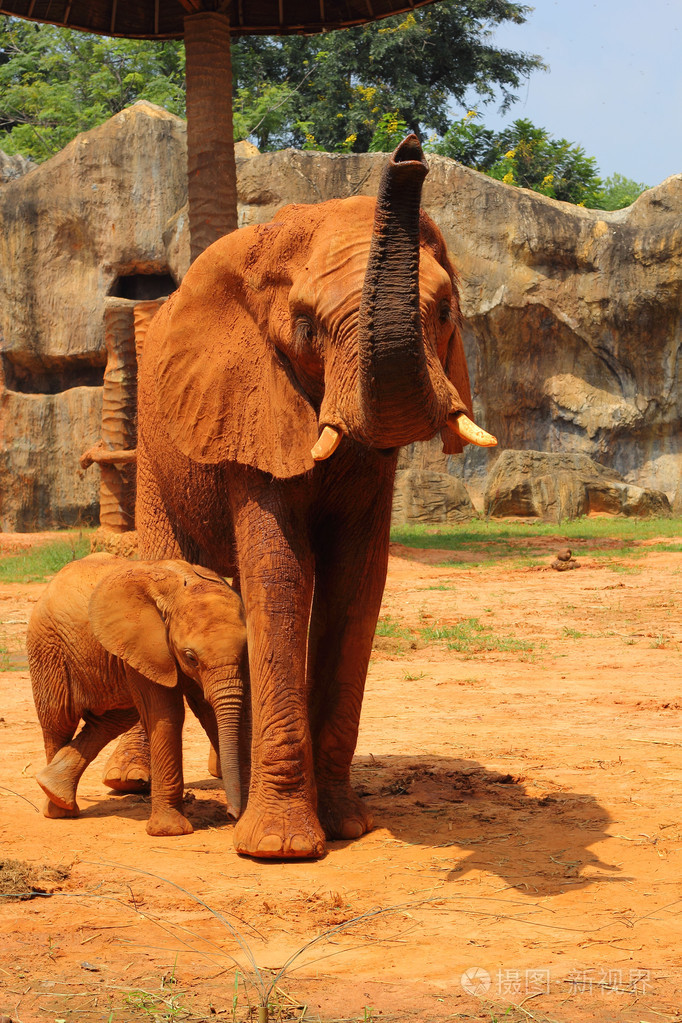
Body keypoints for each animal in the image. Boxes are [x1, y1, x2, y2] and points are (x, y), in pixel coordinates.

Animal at [27, 553, 248, 836]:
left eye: (245, 651)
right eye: (190, 657)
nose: (231, 814)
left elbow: (208, 712)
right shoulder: (145, 644)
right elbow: (166, 713)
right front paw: (170, 831)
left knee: (113, 720)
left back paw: (54, 789)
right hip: (48, 646)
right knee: (58, 721)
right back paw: (58, 810)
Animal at [105, 134, 496, 858]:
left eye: (445, 312)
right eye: (308, 326)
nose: (409, 149)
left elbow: (358, 576)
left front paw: (347, 824)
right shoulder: (252, 397)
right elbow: (283, 571)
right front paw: (280, 848)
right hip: (151, 443)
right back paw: (134, 781)